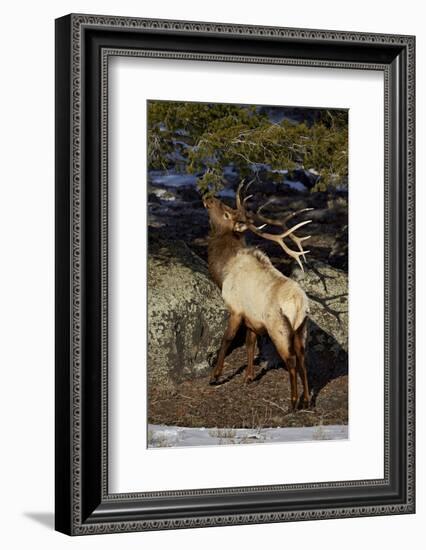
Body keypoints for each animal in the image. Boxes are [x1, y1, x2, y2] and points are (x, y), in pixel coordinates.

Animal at [203, 183, 312, 412]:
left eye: (226, 212)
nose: (208, 197)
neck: (222, 270)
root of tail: (299, 305)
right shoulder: (251, 318)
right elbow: (250, 344)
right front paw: (248, 377)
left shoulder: (235, 308)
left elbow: (227, 340)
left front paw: (215, 376)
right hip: (301, 328)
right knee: (302, 359)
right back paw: (307, 400)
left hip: (278, 328)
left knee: (291, 360)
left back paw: (292, 402)